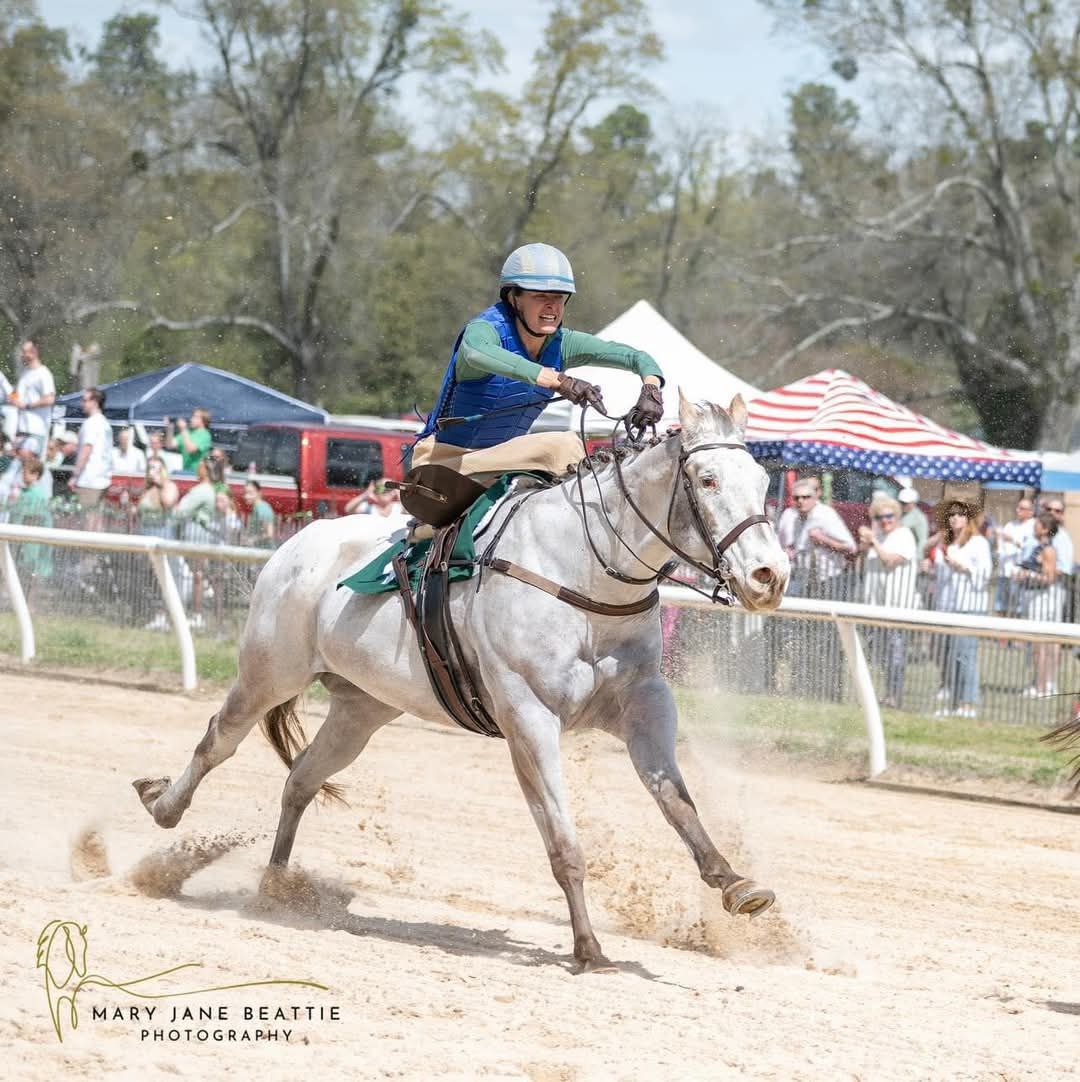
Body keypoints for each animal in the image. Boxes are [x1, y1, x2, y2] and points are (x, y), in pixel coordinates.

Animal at [135, 391, 792, 973]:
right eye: (706, 480)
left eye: (763, 481)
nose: (770, 575)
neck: (582, 570)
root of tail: (299, 541)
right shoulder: (529, 718)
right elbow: (563, 840)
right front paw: (588, 948)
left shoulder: (644, 705)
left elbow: (675, 800)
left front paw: (735, 883)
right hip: (269, 672)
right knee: (217, 740)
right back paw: (164, 811)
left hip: (362, 710)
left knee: (301, 779)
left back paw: (276, 886)